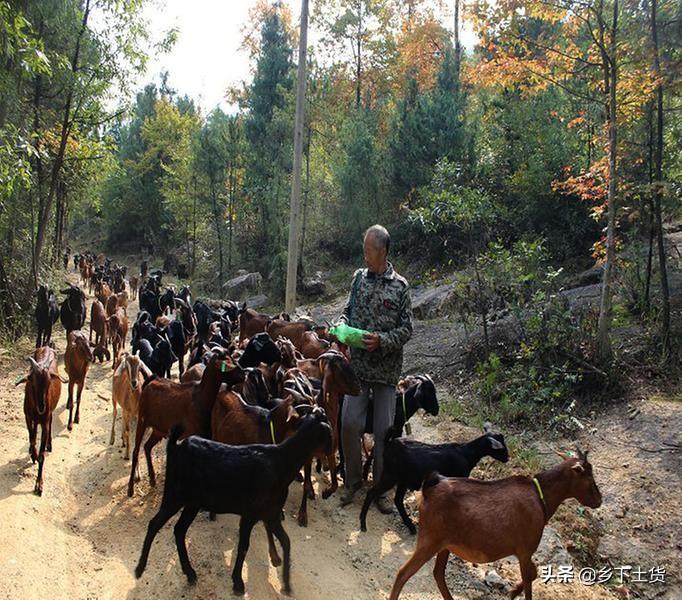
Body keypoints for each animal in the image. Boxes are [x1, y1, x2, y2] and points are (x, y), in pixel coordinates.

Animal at [16, 344, 63, 494]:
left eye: (49, 382)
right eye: (32, 382)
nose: (41, 407)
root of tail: (47, 346)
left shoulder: (45, 422)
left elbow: (42, 456)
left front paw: (39, 484)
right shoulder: (27, 416)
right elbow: (31, 437)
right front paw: (33, 454)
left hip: (49, 414)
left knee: (50, 421)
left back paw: (49, 445)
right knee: (34, 430)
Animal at [127, 352, 244, 496]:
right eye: (227, 364)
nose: (243, 374)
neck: (200, 397)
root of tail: (150, 381)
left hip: (159, 428)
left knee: (147, 446)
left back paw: (152, 479)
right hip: (142, 420)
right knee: (136, 451)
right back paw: (130, 489)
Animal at [134, 406, 330, 592]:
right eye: (328, 431)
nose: (328, 460)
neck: (281, 463)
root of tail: (176, 446)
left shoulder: (271, 514)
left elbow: (286, 542)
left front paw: (287, 585)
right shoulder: (250, 515)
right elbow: (243, 546)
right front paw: (238, 583)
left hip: (192, 503)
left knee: (179, 530)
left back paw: (189, 573)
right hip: (174, 495)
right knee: (154, 524)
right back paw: (140, 568)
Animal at [358, 422, 508, 536]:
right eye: (501, 447)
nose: (507, 458)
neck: (466, 453)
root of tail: (389, 444)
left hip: (403, 479)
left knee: (398, 500)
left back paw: (411, 527)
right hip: (391, 474)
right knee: (372, 492)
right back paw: (363, 523)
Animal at [388, 450, 600, 600]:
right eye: (589, 477)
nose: (599, 499)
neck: (540, 497)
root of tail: (428, 489)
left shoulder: (525, 553)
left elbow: (534, 573)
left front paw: (512, 592)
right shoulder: (525, 551)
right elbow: (529, 580)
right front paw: (515, 592)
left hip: (444, 545)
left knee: (438, 573)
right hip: (429, 541)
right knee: (403, 573)